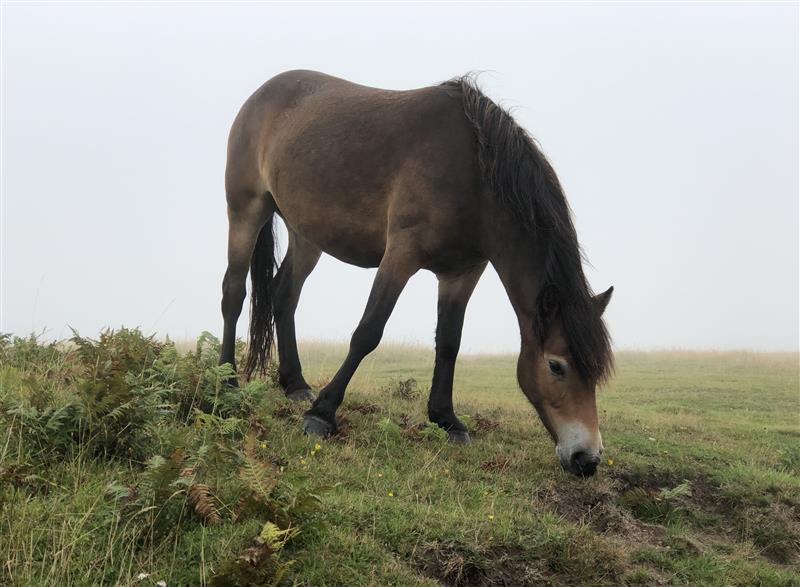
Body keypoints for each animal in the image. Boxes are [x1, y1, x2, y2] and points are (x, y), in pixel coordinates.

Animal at [219, 72, 612, 478]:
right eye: (556, 366)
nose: (587, 458)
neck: (473, 175)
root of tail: (264, 92)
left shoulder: (462, 273)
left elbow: (449, 343)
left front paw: (447, 419)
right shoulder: (401, 254)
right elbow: (368, 332)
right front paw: (323, 414)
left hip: (306, 233)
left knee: (284, 295)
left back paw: (295, 384)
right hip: (247, 209)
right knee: (233, 292)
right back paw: (228, 380)